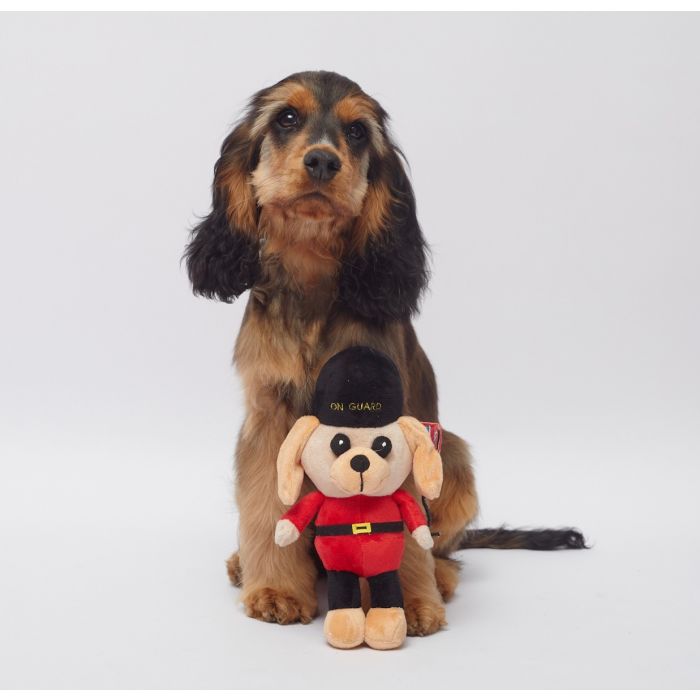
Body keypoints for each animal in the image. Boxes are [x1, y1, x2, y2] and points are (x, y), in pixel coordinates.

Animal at [183, 69, 584, 636]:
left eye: (356, 132)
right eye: (287, 118)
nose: (322, 161)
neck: (314, 280)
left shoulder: (398, 424)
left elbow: (405, 527)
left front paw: (410, 603)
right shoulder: (268, 416)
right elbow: (263, 505)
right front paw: (278, 590)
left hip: (454, 454)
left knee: (446, 548)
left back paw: (441, 578)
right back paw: (246, 563)